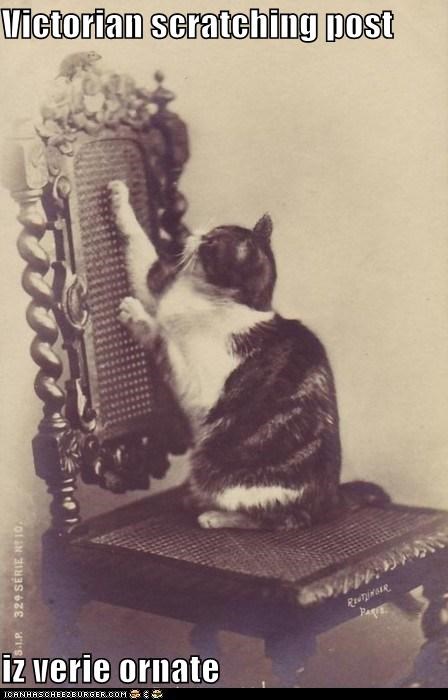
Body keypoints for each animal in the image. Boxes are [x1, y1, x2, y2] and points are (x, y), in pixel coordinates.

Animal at [107, 180, 388, 529]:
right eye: (212, 232)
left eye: (211, 243)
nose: (192, 235)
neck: (211, 299)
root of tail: (331, 499)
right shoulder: (155, 287)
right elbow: (140, 248)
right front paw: (119, 196)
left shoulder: (193, 383)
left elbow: (158, 335)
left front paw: (135, 316)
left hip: (215, 468)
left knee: (279, 520)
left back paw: (214, 515)